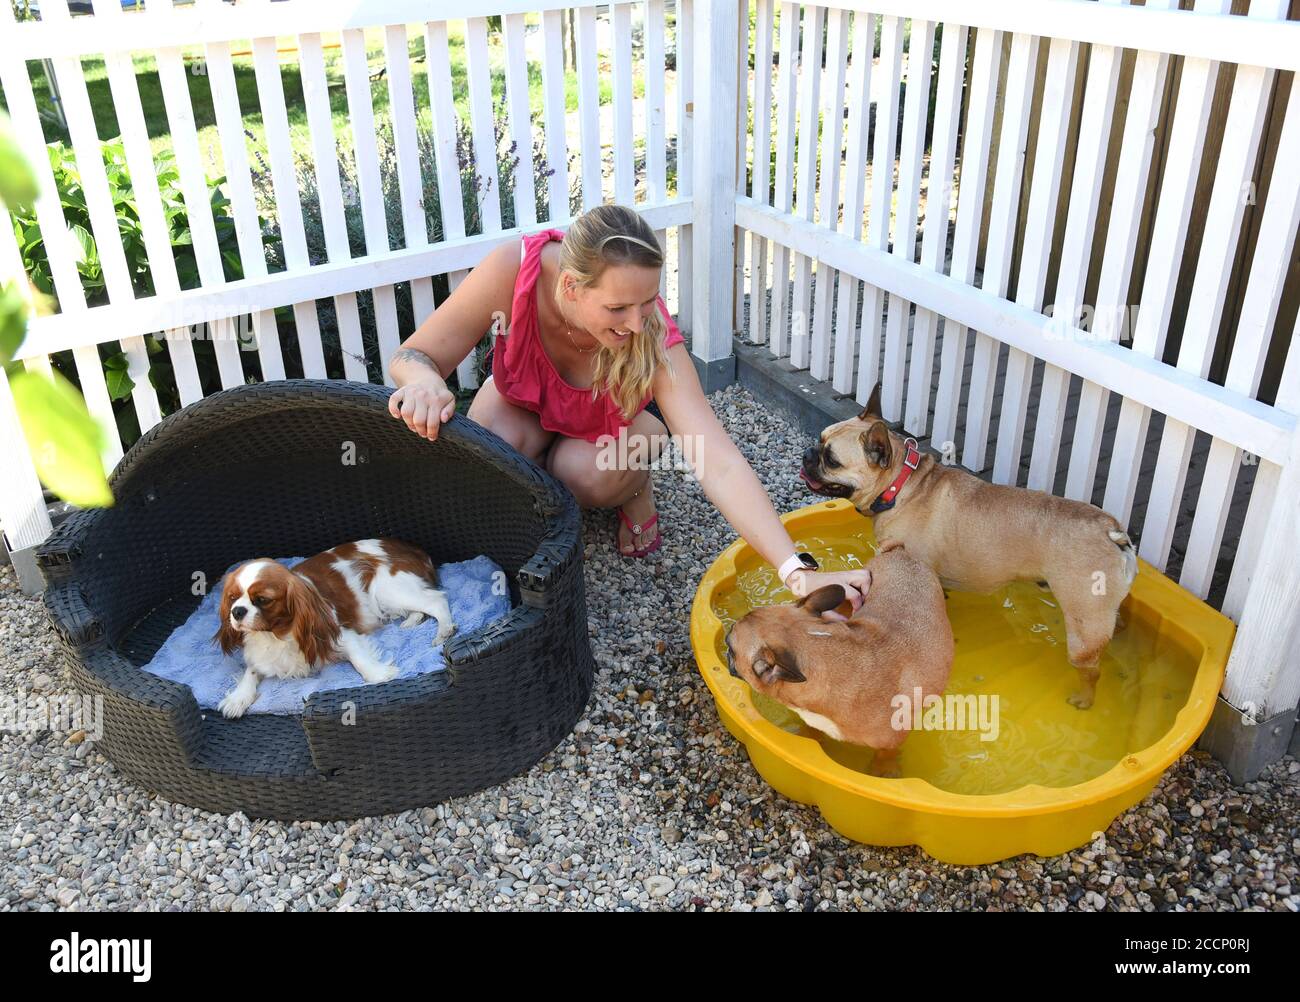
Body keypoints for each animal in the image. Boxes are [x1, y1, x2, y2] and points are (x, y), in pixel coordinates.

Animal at [214, 540, 457, 722]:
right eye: (232, 598)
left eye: (263, 599)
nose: (237, 611)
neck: (275, 634)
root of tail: (413, 548)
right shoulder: (260, 655)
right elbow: (251, 671)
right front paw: (238, 698)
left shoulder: (341, 634)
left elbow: (359, 659)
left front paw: (379, 675)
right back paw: (412, 621)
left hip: (388, 590)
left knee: (436, 600)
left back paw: (444, 631)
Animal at [728, 545, 951, 779]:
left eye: (731, 647)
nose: (726, 636)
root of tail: (902, 553)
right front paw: (808, 735)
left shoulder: (893, 737)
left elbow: (886, 753)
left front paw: (884, 769)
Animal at [795, 379, 1133, 706]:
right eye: (820, 440)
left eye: (831, 460)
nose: (808, 454)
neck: (902, 486)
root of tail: (1110, 530)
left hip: (1083, 625)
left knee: (1091, 669)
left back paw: (1084, 699)